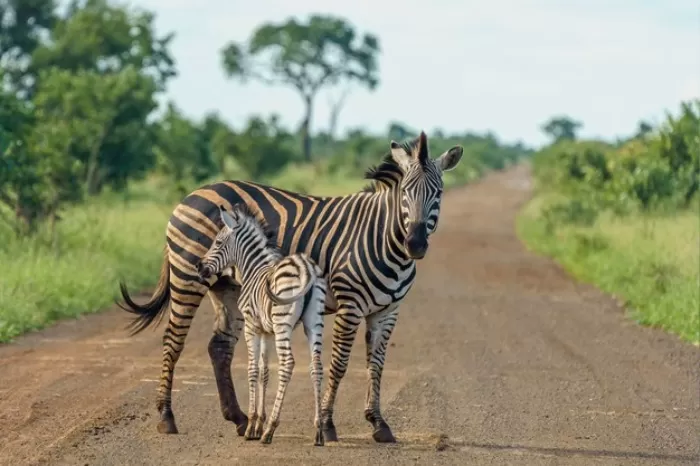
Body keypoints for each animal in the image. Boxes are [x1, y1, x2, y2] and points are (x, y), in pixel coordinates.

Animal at [197, 202, 328, 446]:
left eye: (217, 242)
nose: (199, 268)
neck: (253, 269)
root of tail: (306, 266)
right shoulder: (266, 331)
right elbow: (264, 371)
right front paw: (258, 422)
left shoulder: (251, 326)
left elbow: (252, 370)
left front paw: (252, 427)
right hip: (314, 322)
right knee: (316, 365)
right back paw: (318, 432)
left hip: (283, 323)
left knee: (287, 364)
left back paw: (270, 430)